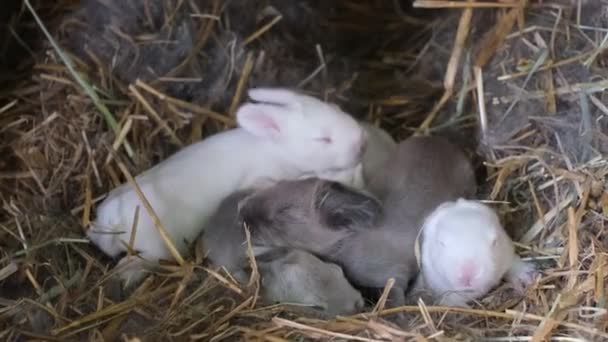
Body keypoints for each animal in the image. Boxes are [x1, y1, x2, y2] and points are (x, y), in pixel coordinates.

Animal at [88, 88, 368, 286]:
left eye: (337, 108)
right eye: (323, 139)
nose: (361, 142)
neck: (276, 148)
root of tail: (112, 221)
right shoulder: (264, 178)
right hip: (158, 248)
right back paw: (126, 273)